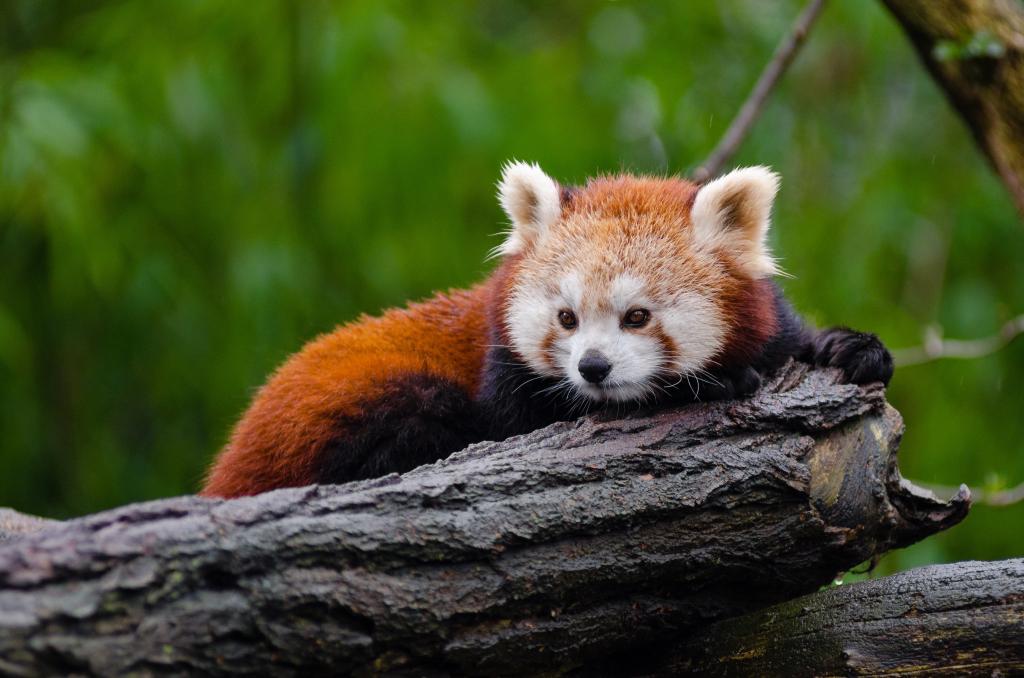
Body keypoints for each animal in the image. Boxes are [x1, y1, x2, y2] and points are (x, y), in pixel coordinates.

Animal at [199, 161, 888, 497]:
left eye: (637, 315)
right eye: (567, 317)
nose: (593, 367)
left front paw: (852, 349)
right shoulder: (504, 375)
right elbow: (515, 421)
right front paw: (714, 383)